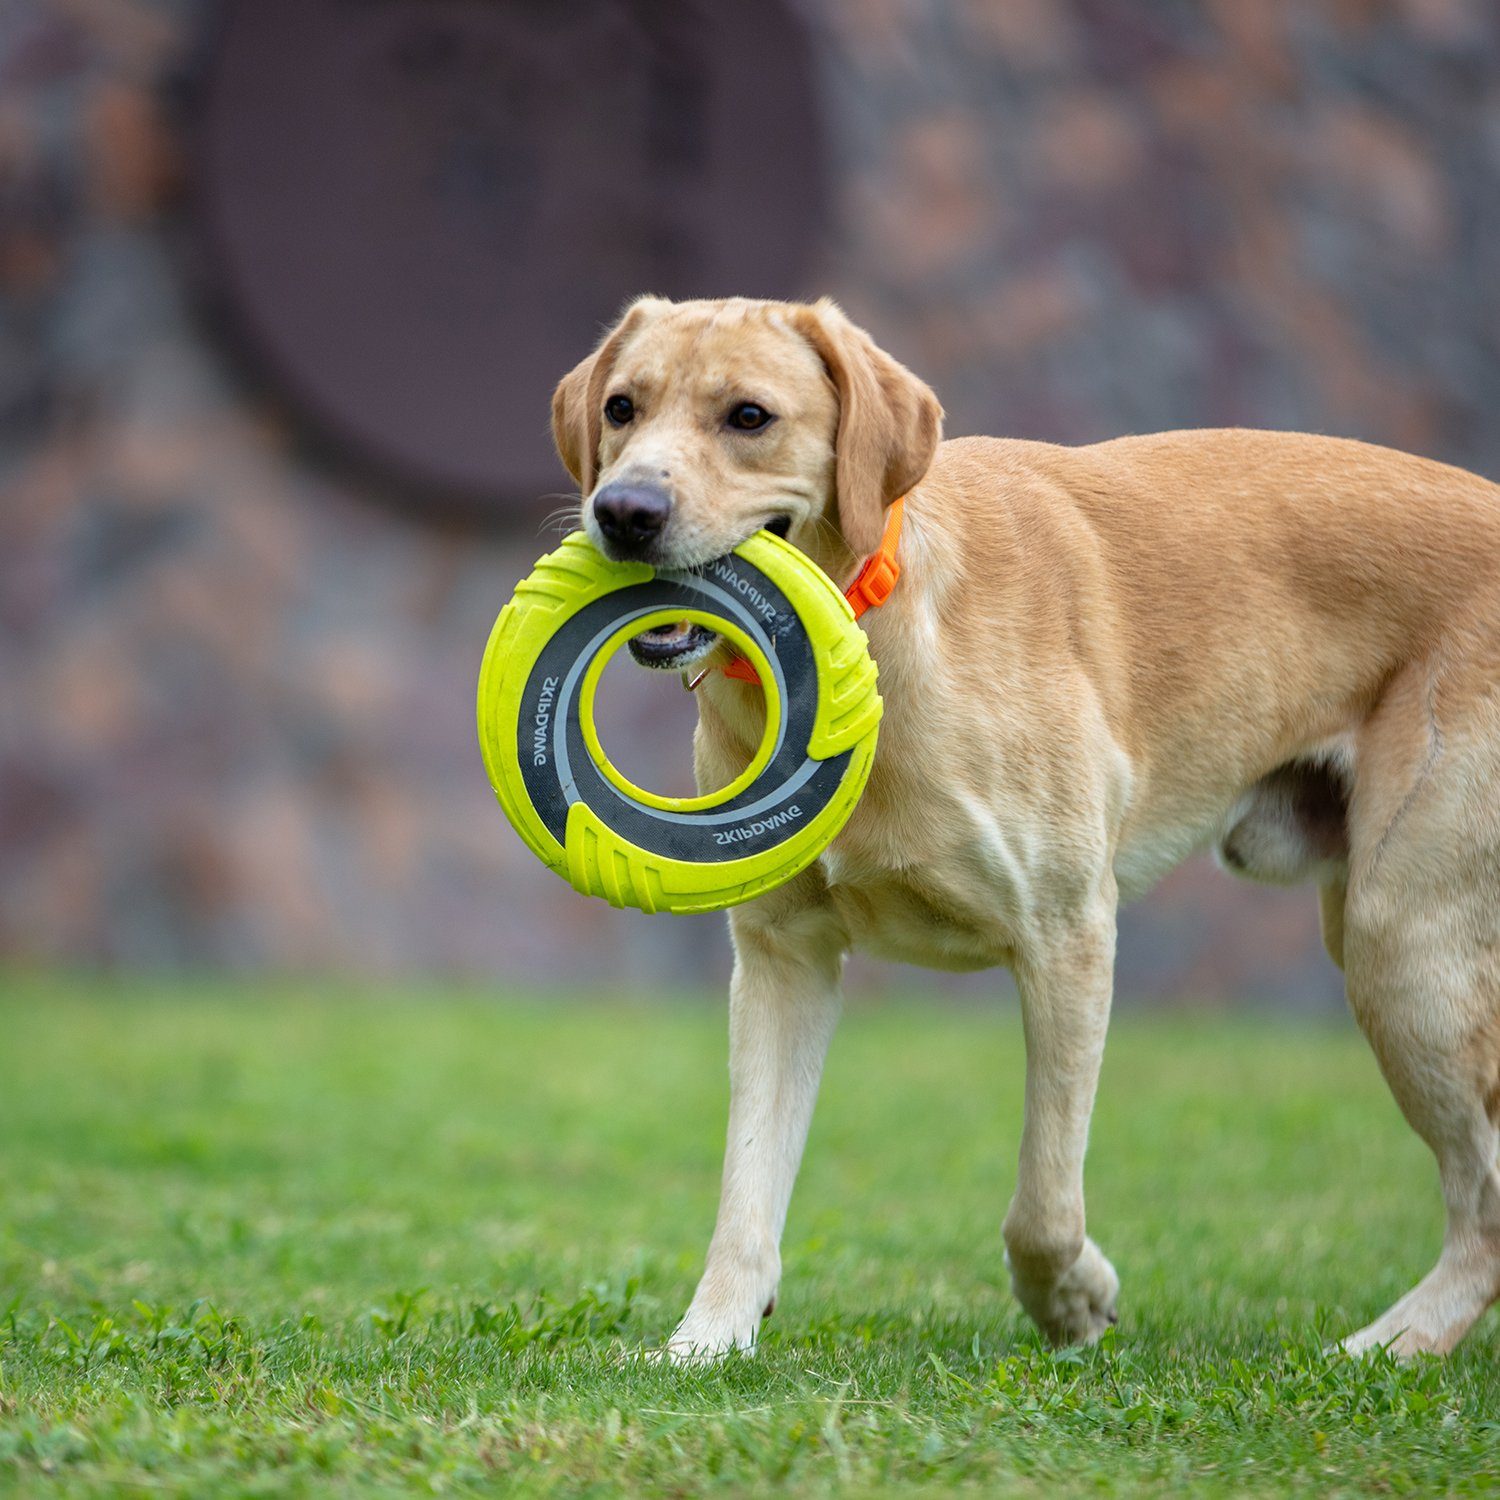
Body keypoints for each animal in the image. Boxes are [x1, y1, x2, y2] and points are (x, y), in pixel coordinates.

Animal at [552, 289, 1500, 1362]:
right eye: (622, 408)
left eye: (749, 417)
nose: (623, 512)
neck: (874, 642)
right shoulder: (782, 957)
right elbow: (746, 1186)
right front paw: (708, 1338)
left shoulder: (1068, 934)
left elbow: (1042, 1199)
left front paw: (1073, 1300)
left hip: (1406, 945)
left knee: (1483, 1199)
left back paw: (1396, 1344)